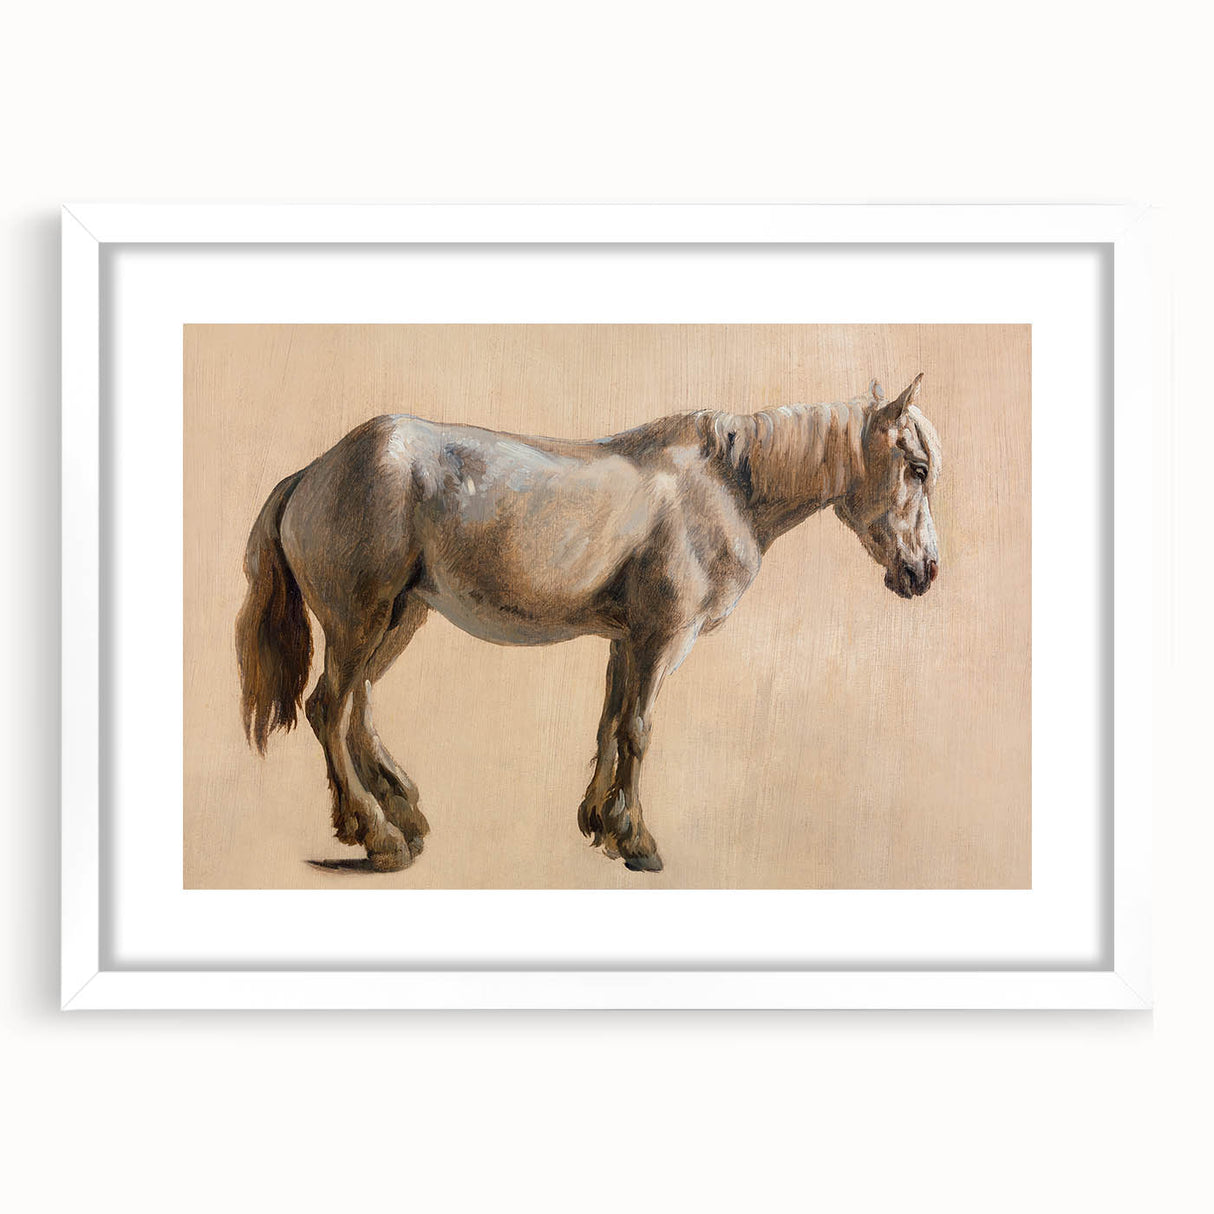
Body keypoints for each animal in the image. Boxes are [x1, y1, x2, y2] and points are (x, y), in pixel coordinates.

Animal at [236, 374, 942, 874]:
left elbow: (608, 723)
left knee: (357, 706)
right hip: (362, 621)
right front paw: (637, 839)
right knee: (329, 709)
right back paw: (379, 836)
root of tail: (314, 471)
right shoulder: (660, 639)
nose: (925, 571)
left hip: (399, 618)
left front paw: (600, 822)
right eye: (919, 469)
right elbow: (637, 730)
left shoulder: (627, 641)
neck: (723, 487)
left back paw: (397, 813)